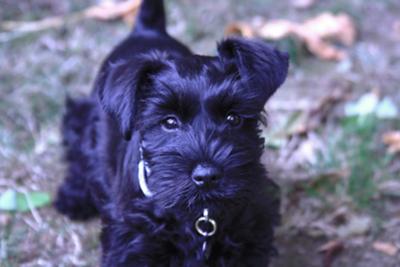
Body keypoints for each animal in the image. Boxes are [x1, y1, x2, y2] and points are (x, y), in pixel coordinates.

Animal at [55, 1, 288, 266]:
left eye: (234, 118)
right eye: (169, 122)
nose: (207, 176)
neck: (201, 216)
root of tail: (147, 29)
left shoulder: (251, 237)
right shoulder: (132, 244)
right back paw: (72, 198)